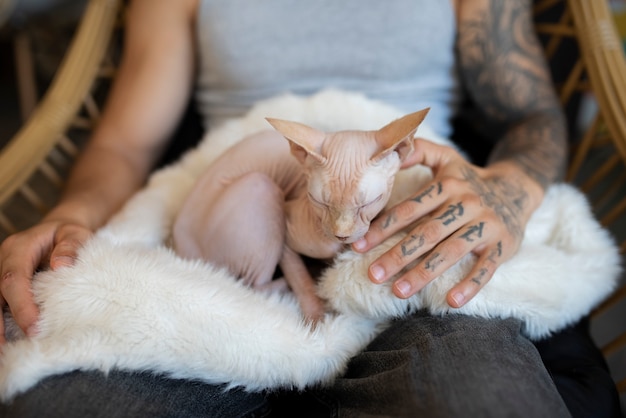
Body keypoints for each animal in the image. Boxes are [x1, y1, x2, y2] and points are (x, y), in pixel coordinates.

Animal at [173, 108, 432, 320]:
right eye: (319, 201)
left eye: (369, 202)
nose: (341, 235)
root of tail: (180, 250)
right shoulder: (287, 241)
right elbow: (300, 280)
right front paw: (317, 318)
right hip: (260, 186)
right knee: (251, 286)